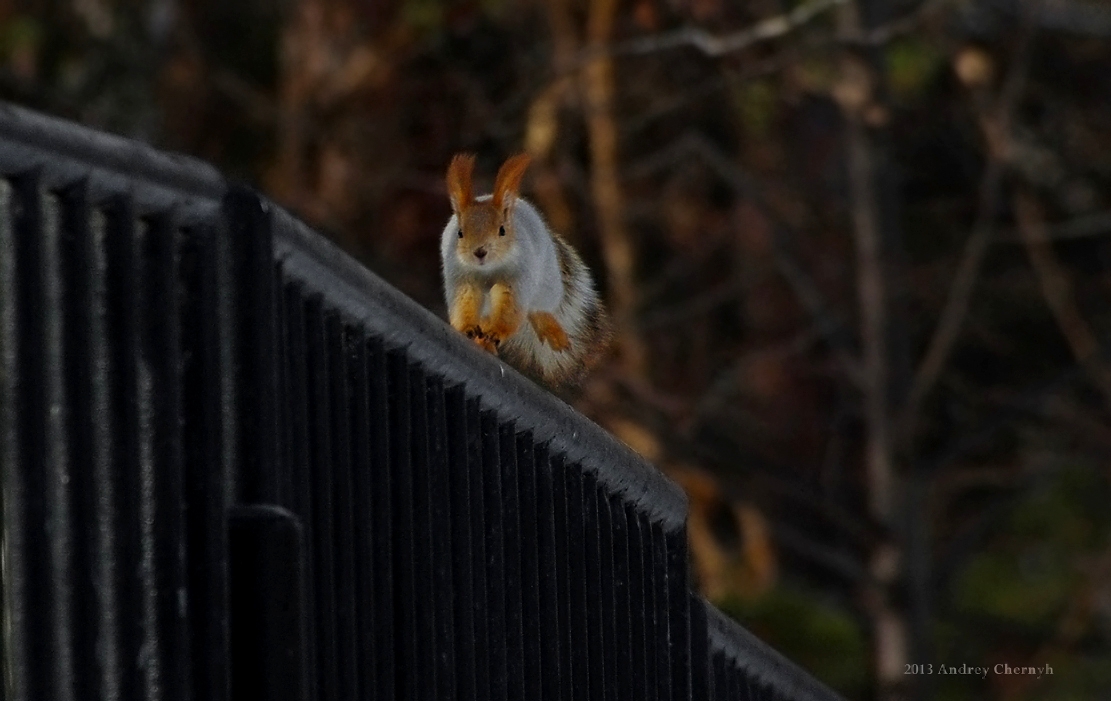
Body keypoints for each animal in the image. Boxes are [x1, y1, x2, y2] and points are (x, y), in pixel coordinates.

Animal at [442, 152, 617, 388]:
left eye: (502, 230)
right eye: (460, 233)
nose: (479, 252)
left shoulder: (517, 281)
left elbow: (510, 312)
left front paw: (496, 333)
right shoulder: (463, 280)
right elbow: (465, 306)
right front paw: (468, 329)